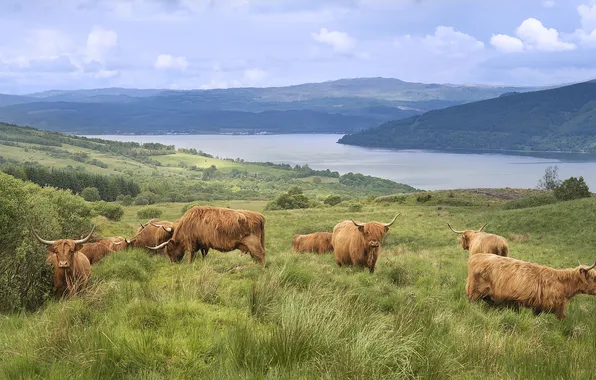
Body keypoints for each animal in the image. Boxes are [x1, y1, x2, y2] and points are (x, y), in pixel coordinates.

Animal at [466, 254, 596, 320]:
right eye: (593, 278)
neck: (563, 284)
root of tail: (476, 256)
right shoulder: (557, 307)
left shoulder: (538, 307)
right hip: (475, 292)